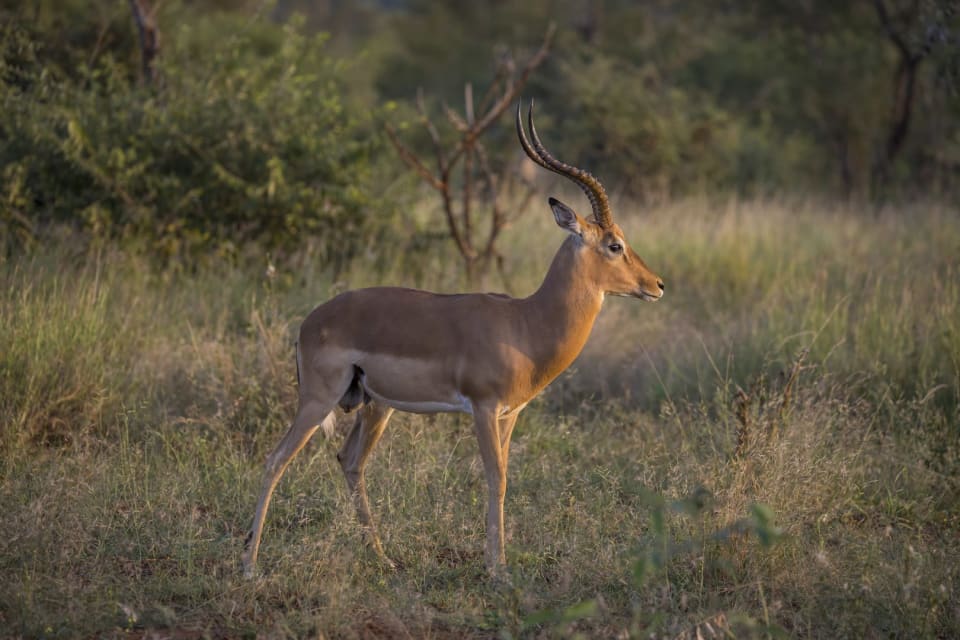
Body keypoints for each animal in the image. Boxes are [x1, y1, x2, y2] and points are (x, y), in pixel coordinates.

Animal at [241, 102, 665, 577]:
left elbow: (504, 478)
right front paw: (497, 570)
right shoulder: (482, 408)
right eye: (614, 245)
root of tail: (309, 321)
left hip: (374, 405)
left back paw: (384, 559)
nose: (657, 285)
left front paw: (497, 563)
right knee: (275, 461)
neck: (526, 322)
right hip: (319, 400)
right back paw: (249, 565)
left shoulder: (510, 414)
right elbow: (494, 479)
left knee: (350, 463)